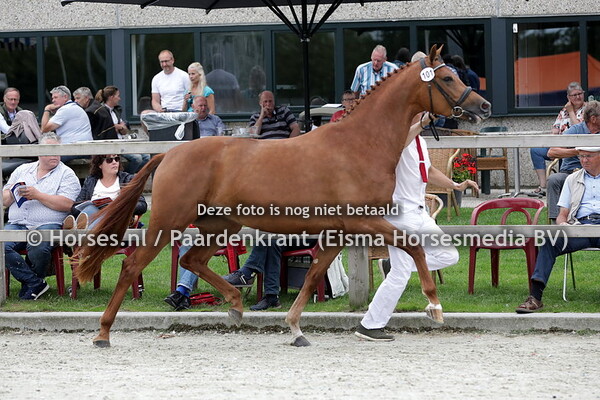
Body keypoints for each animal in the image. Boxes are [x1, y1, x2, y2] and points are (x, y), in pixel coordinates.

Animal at [76, 45, 491, 348]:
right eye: (447, 77)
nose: (483, 106)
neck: (359, 145)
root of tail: (170, 154)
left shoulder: (338, 231)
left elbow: (314, 275)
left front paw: (295, 328)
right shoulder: (362, 221)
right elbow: (414, 247)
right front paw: (434, 305)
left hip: (219, 226)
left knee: (192, 261)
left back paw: (236, 305)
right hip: (168, 222)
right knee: (133, 266)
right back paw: (103, 333)